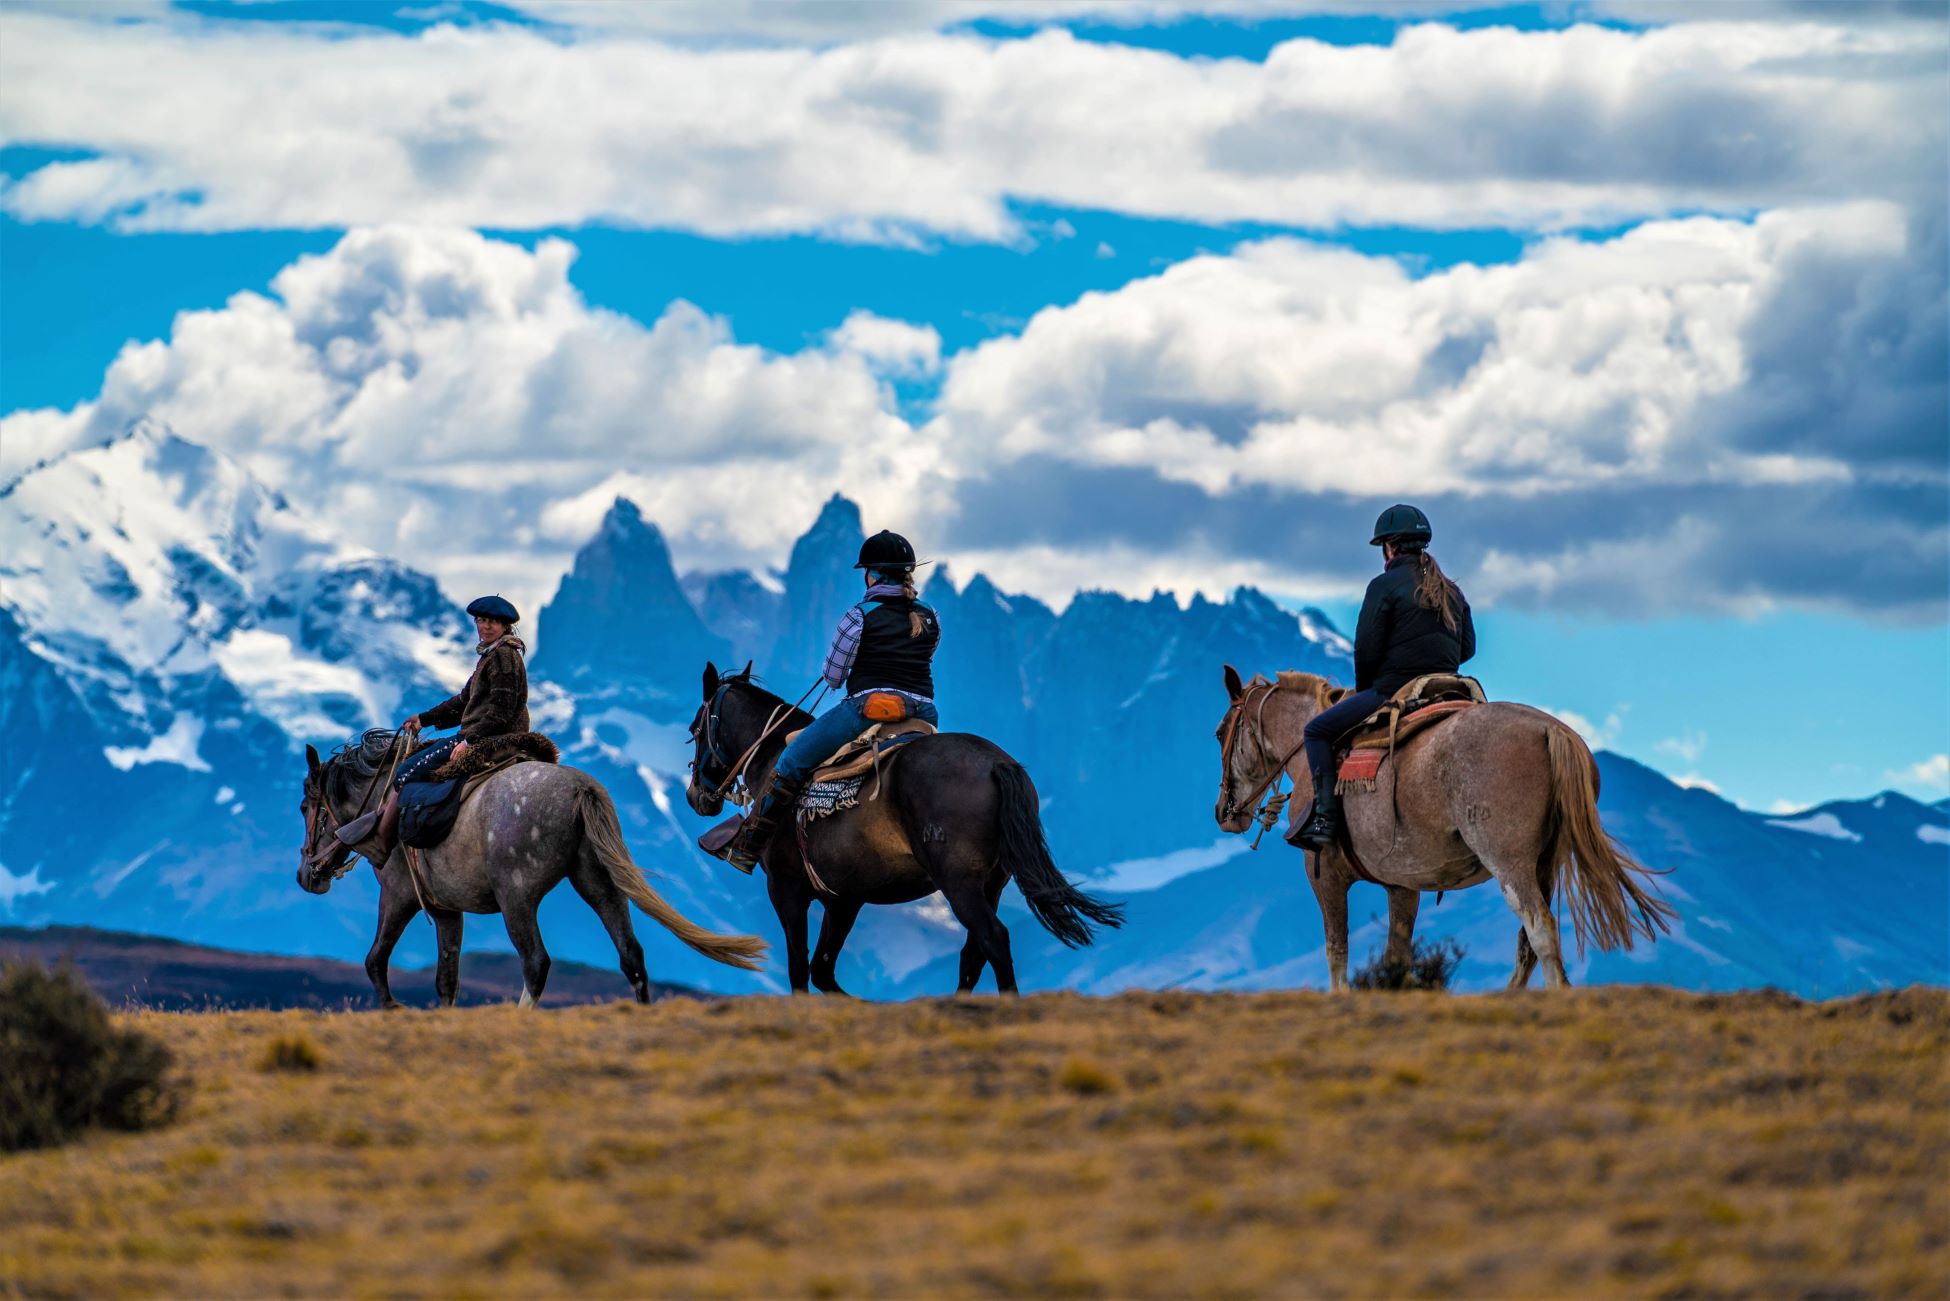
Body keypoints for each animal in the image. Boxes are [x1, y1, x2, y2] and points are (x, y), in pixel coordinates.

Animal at [300, 733, 764, 1006]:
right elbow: (446, 979)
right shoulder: (448, 910)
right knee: (631, 953)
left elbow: (375, 961)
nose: (307, 876)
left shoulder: (399, 896)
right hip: (599, 885)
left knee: (536, 962)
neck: (382, 806)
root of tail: (580, 788)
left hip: (517, 897)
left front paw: (394, 1008)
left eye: (306, 807)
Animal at [686, 667, 1123, 990]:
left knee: (993, 939)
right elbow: (822, 969)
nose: (696, 796)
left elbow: (799, 968)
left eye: (694, 730)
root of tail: (997, 764)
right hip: (993, 882)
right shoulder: (844, 900)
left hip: (959, 882)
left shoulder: (786, 888)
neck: (773, 758)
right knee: (973, 954)